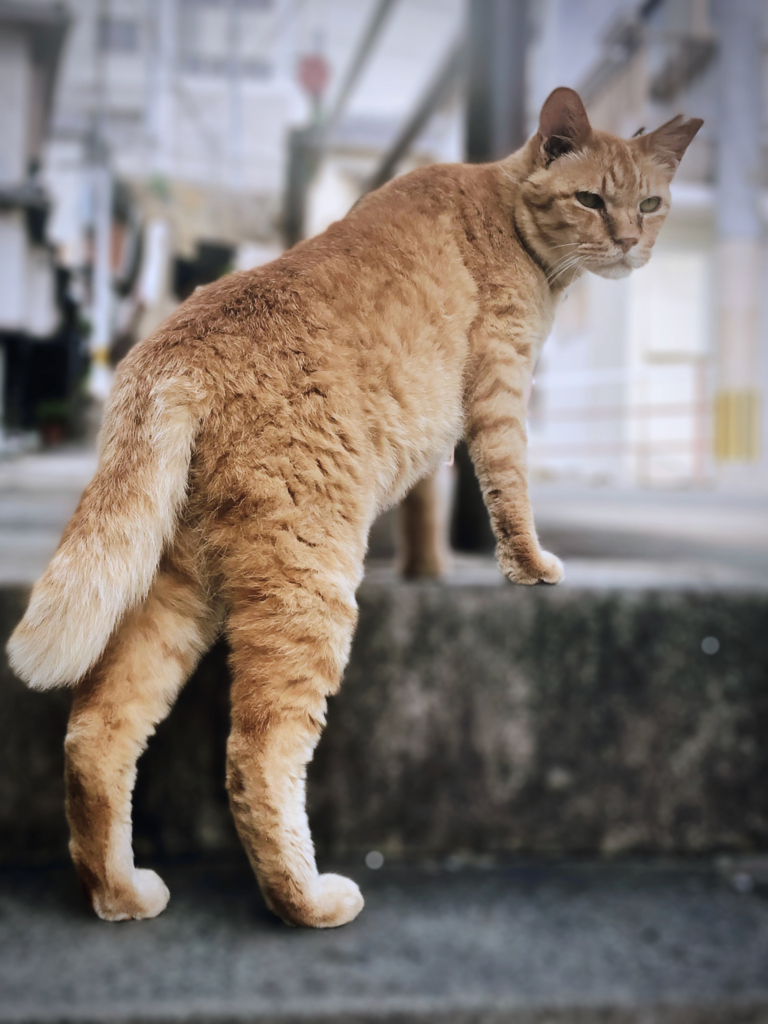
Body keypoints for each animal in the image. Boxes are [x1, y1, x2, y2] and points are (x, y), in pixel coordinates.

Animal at [6, 90, 704, 929]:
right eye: (591, 200)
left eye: (651, 203)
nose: (631, 243)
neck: (504, 208)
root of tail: (170, 352)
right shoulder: (498, 388)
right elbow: (509, 488)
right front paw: (530, 567)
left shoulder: (436, 422)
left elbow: (431, 501)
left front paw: (430, 568)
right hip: (309, 581)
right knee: (256, 754)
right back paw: (306, 901)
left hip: (176, 584)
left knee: (97, 730)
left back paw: (120, 893)